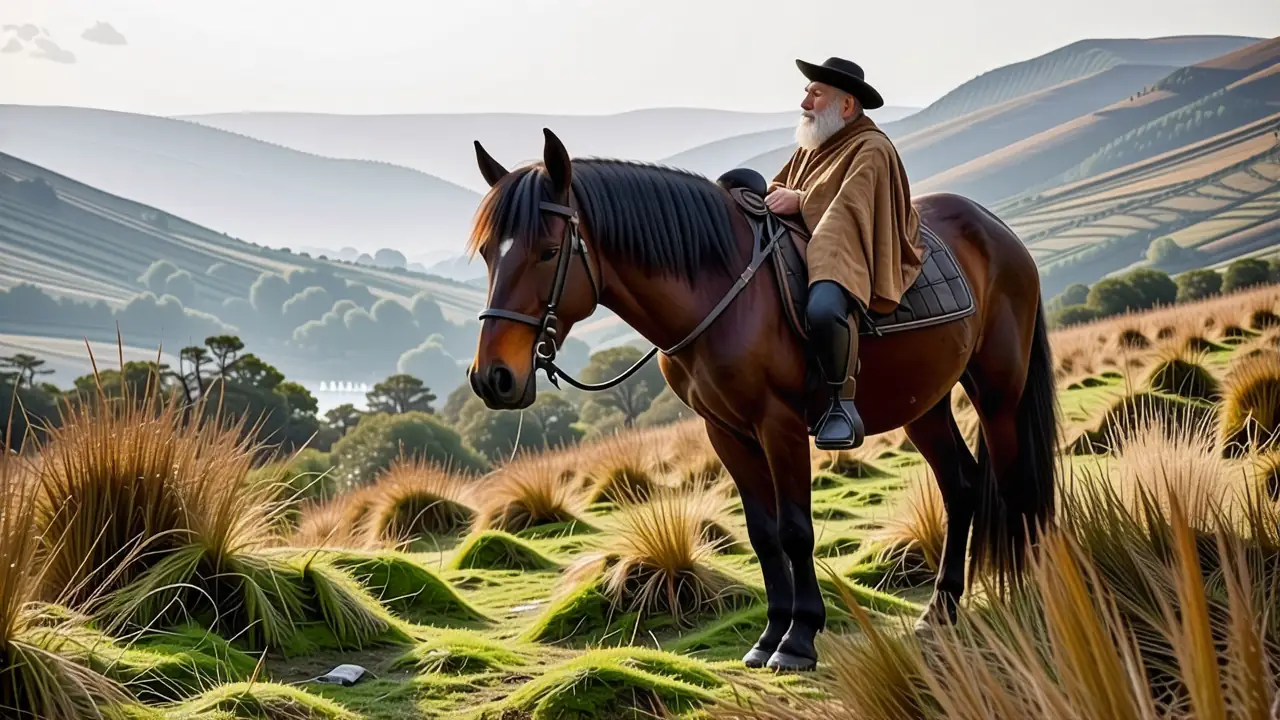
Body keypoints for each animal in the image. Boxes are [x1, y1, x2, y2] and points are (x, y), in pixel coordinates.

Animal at [464, 128, 1058, 673]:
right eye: (489, 254)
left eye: (547, 252)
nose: (493, 378)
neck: (721, 292)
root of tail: (995, 229)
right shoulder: (726, 433)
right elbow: (763, 534)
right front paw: (771, 634)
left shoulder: (780, 426)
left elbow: (795, 531)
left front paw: (799, 639)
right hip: (924, 404)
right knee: (961, 487)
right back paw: (941, 608)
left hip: (999, 394)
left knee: (1016, 487)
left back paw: (1031, 591)